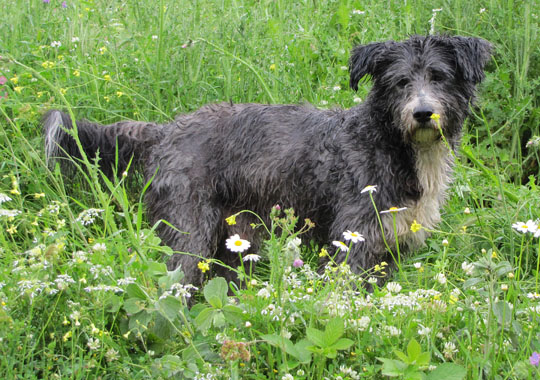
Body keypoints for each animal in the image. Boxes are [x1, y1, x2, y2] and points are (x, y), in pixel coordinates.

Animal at [44, 35, 494, 284]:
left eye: (439, 77)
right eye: (401, 82)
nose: (423, 113)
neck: (390, 142)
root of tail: (165, 130)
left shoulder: (389, 248)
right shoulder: (352, 240)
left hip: (230, 244)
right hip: (188, 233)